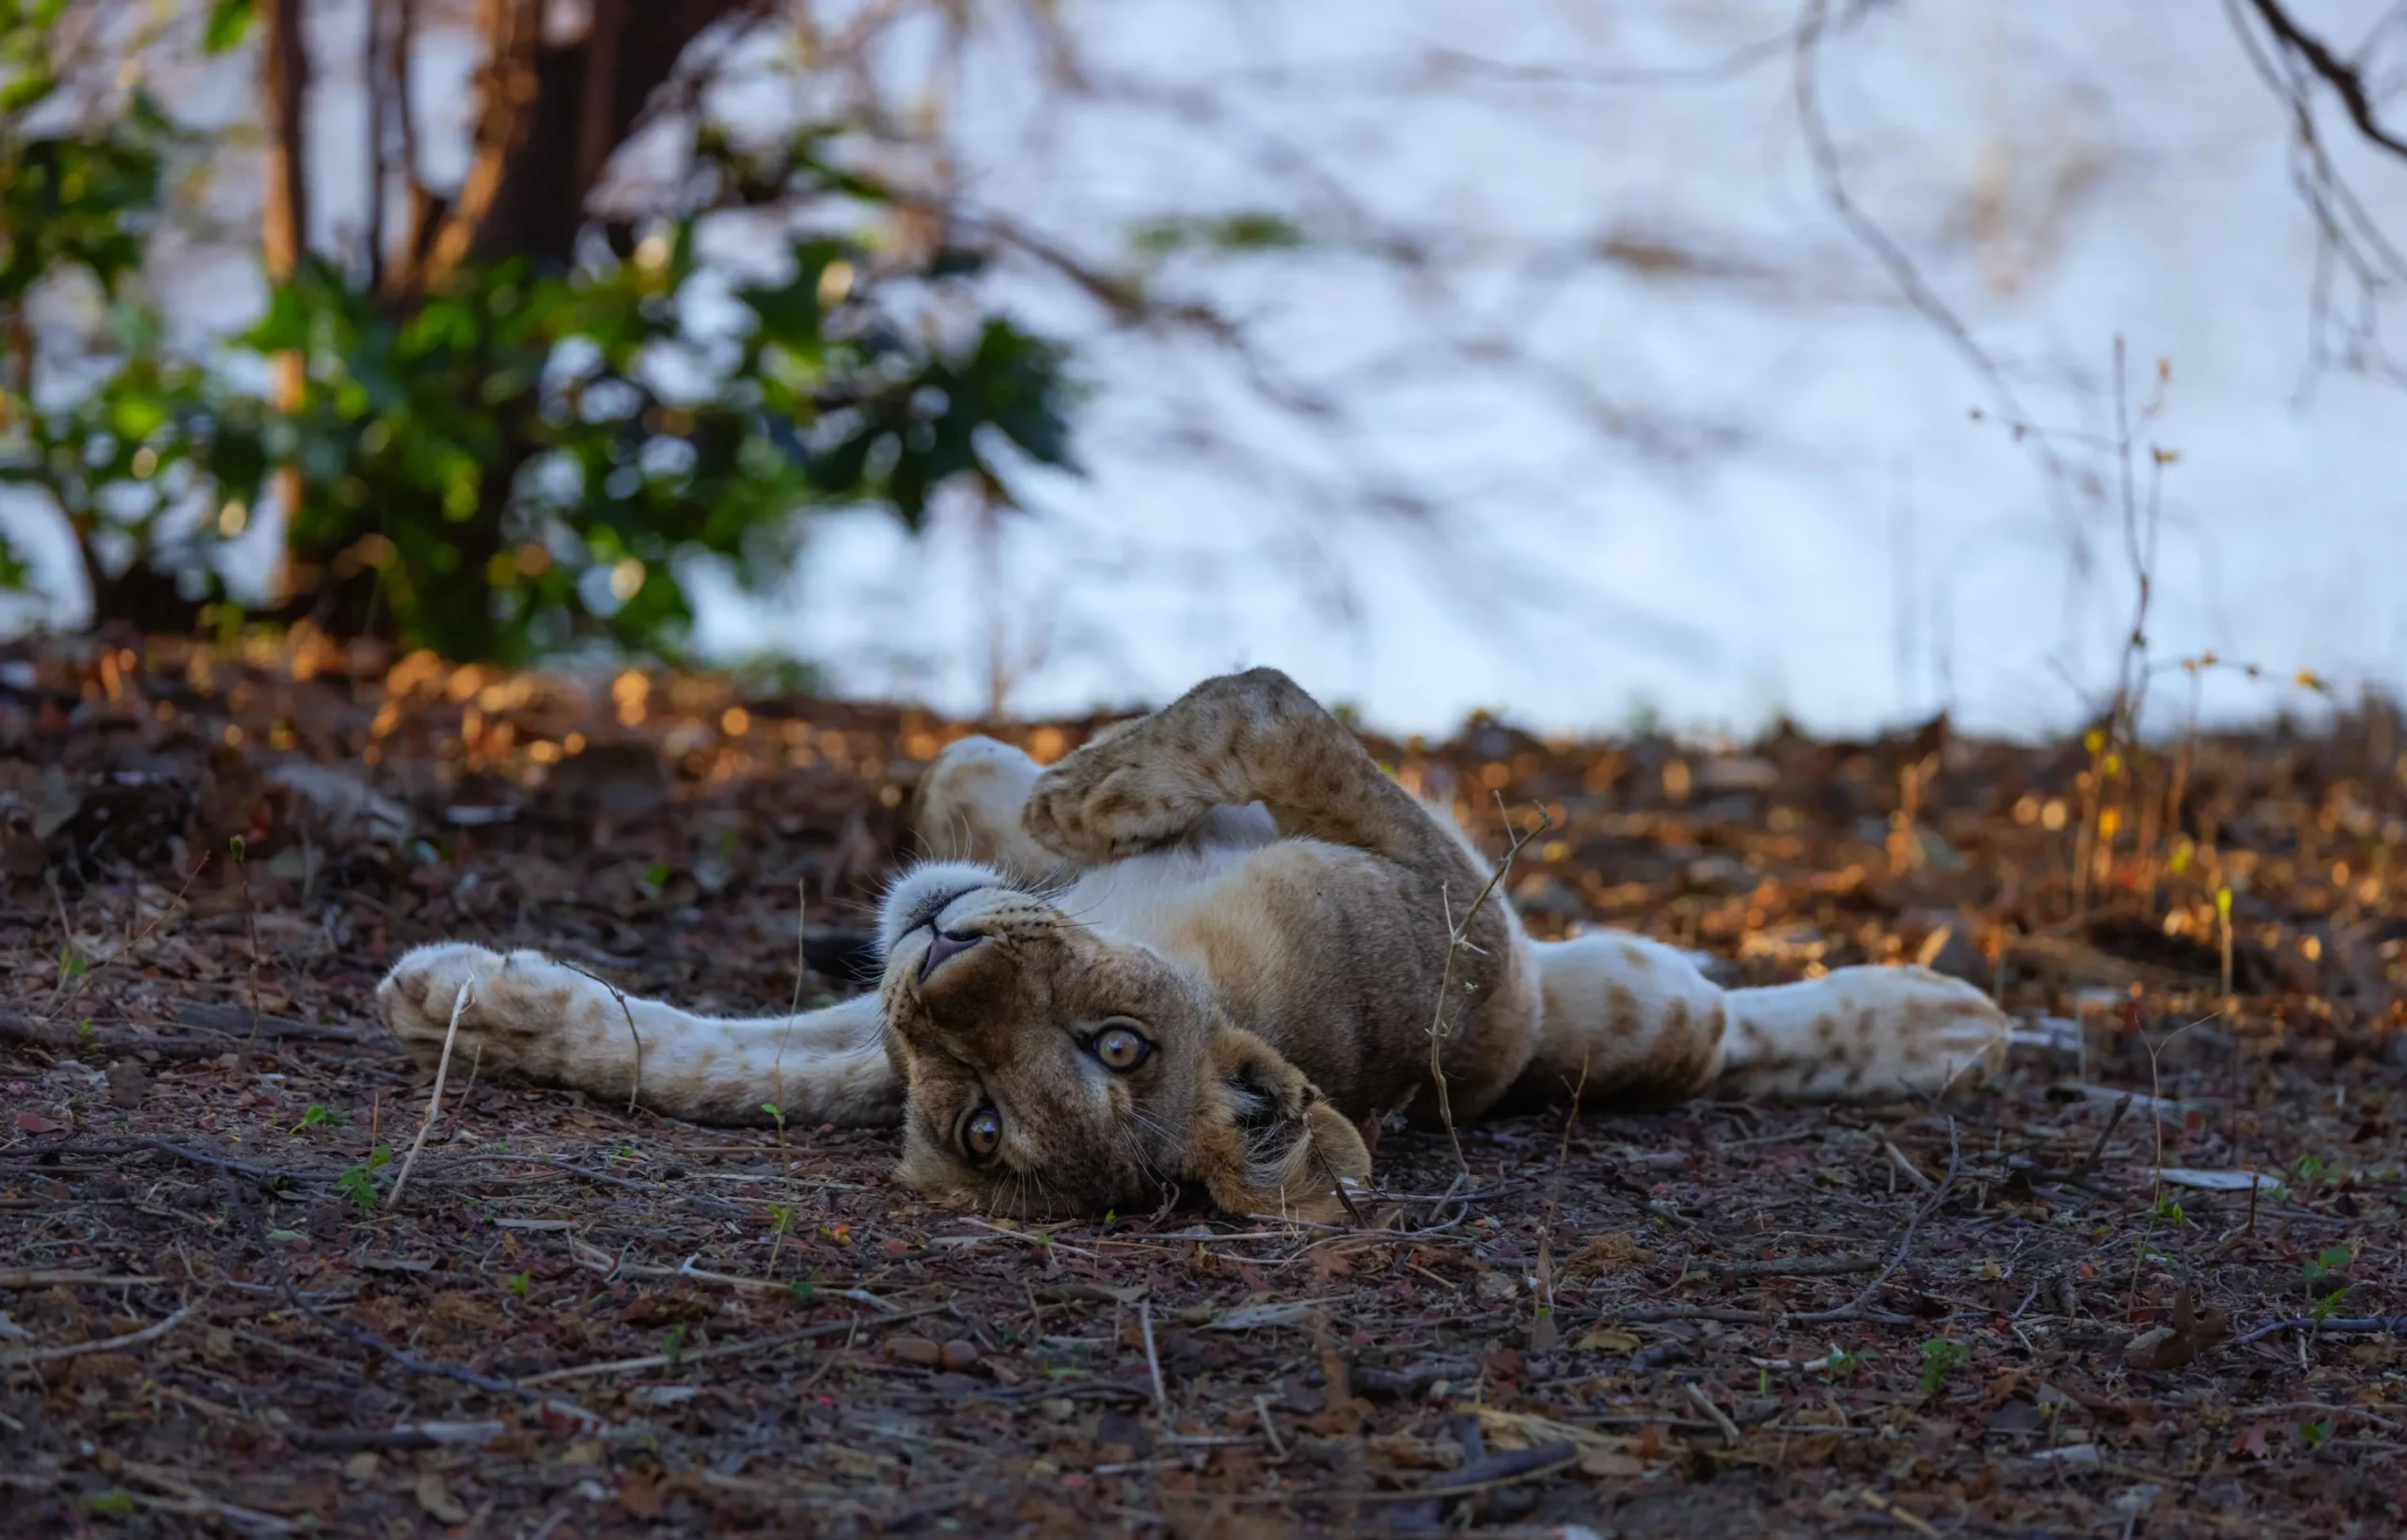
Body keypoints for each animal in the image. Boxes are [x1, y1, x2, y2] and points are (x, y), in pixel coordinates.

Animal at [378, 668, 2008, 1220]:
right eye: (980, 1119)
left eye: (1113, 1050)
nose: (941, 966)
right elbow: (703, 1061)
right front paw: (466, 998)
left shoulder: (1450, 910)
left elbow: (1260, 704)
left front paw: (1088, 788)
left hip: (1586, 996)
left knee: (1728, 1026)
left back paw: (1952, 1019)